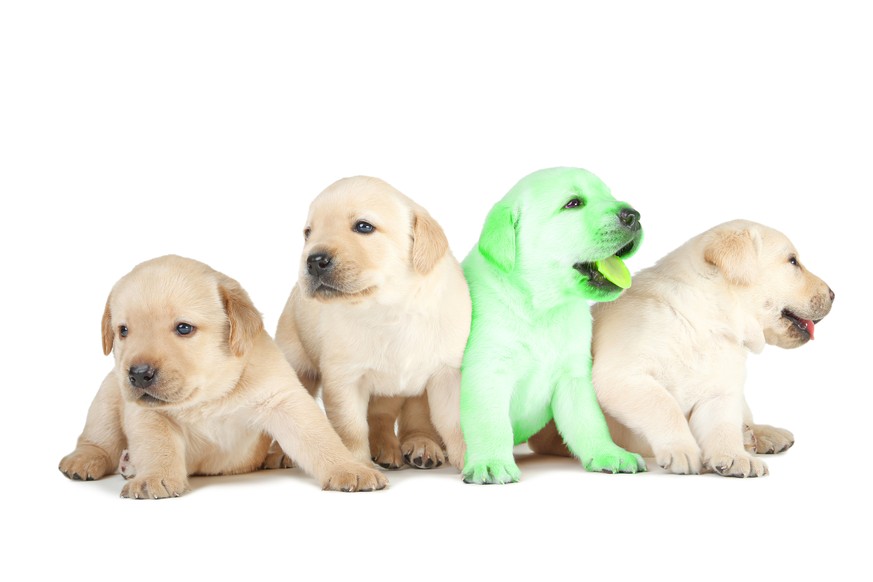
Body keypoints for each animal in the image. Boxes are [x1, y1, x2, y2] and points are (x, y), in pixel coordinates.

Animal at [59, 256, 386, 498]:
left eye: (184, 328)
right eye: (123, 331)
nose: (138, 374)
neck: (208, 397)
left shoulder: (283, 400)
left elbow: (319, 439)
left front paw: (350, 468)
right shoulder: (147, 413)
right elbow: (157, 445)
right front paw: (154, 477)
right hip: (108, 393)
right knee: (97, 439)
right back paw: (86, 460)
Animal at [278, 176, 470, 472]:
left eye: (363, 226)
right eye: (308, 233)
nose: (313, 260)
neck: (391, 309)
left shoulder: (447, 373)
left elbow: (455, 423)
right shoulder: (345, 379)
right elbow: (351, 429)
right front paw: (359, 467)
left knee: (402, 419)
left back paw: (417, 446)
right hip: (297, 362)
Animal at [460, 165, 644, 484]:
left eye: (608, 195)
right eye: (573, 203)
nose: (634, 216)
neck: (542, 308)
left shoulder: (574, 377)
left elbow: (589, 421)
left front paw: (609, 453)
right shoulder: (487, 371)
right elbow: (490, 422)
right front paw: (492, 462)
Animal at [528, 219, 836, 480]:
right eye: (793, 262)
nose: (834, 294)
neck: (706, 321)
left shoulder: (719, 392)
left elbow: (722, 426)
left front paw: (733, 456)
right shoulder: (622, 377)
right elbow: (664, 406)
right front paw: (683, 450)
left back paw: (760, 436)